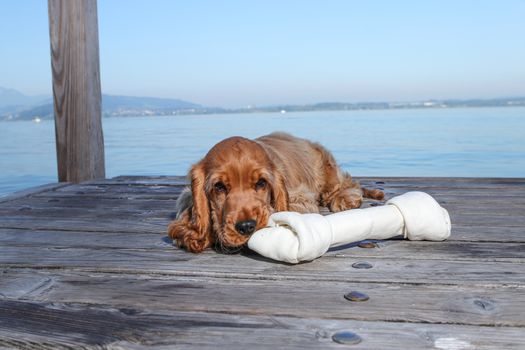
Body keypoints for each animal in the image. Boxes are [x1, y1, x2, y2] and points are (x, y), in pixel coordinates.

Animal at [170, 133, 382, 253]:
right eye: (219, 187)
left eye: (261, 183)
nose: (247, 227)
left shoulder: (302, 198)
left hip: (325, 168)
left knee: (346, 182)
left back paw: (346, 199)